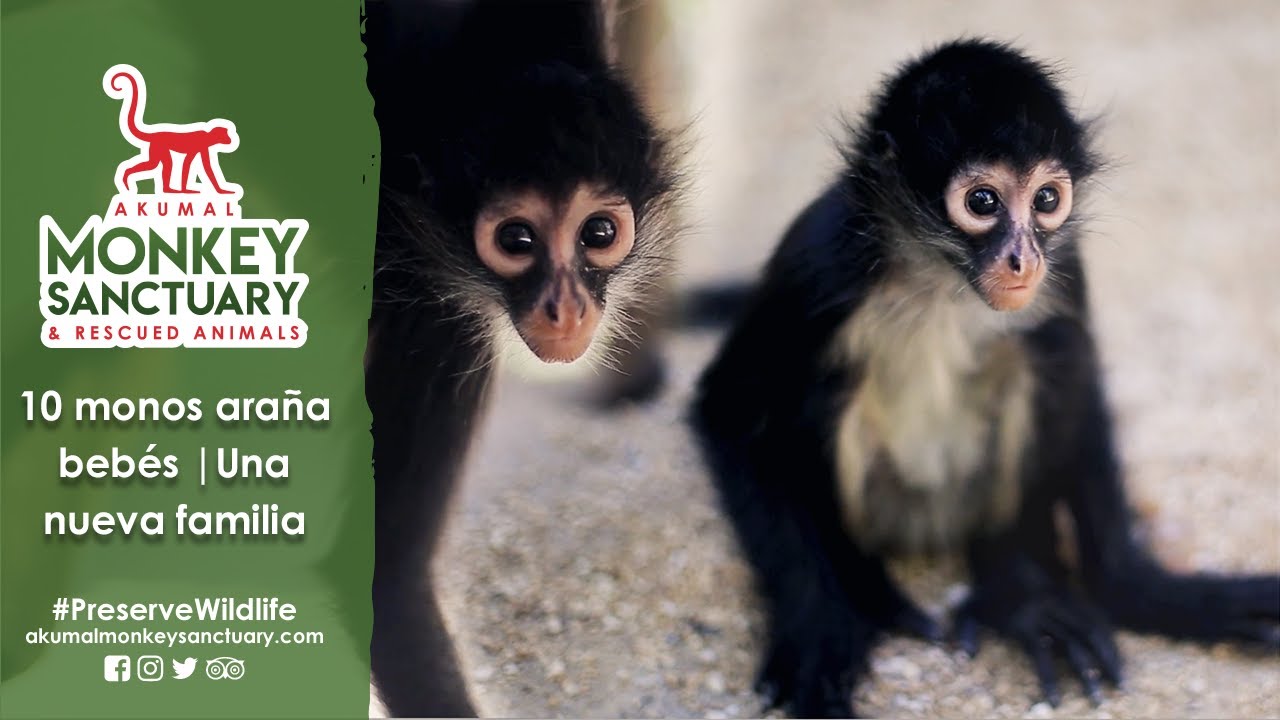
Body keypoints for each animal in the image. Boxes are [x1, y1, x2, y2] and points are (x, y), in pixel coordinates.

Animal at [104, 66, 239, 195]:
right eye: (227, 134)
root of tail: (155, 134)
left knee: (159, 163)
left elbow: (196, 165)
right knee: (159, 163)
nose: (230, 139)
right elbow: (193, 164)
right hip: (159, 146)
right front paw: (188, 190)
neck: (207, 136)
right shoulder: (201, 145)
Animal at [690, 39, 1280, 718]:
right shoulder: (820, 259)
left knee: (1051, 348)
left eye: (1046, 200)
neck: (941, 280)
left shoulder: (1065, 266)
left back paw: (1014, 589)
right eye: (982, 203)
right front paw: (821, 636)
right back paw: (870, 590)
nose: (1023, 260)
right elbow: (726, 411)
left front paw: (1147, 594)